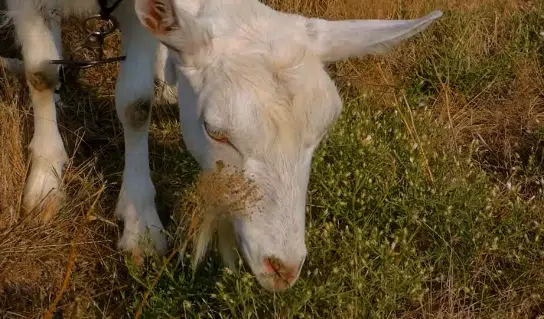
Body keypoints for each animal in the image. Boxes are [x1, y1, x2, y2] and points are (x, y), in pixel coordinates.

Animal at [1, 0, 442, 292]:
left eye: (321, 131)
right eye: (214, 131)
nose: (283, 268)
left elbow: (136, 102)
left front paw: (140, 224)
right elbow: (41, 76)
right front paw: (45, 185)